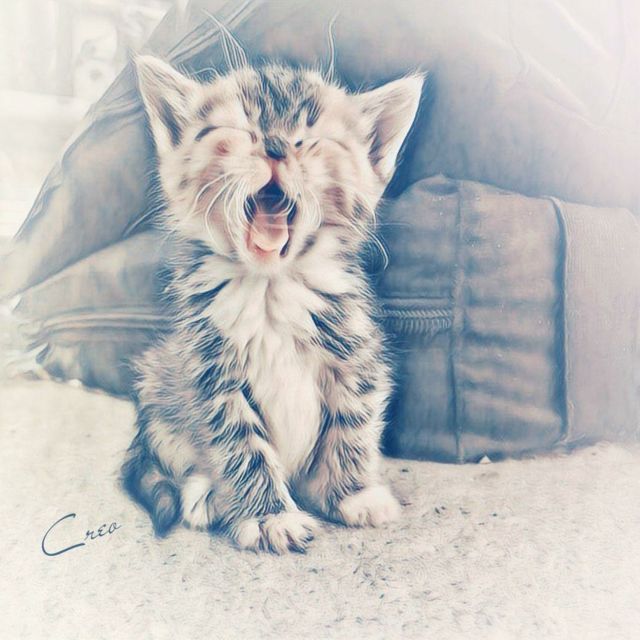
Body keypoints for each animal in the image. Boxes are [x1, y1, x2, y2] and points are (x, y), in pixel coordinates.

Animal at [122, 52, 423, 554]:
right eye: (239, 129)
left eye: (311, 138)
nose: (277, 147)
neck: (271, 290)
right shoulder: (208, 373)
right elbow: (241, 446)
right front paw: (268, 517)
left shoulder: (356, 354)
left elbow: (353, 425)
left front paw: (352, 493)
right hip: (157, 381)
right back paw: (205, 493)